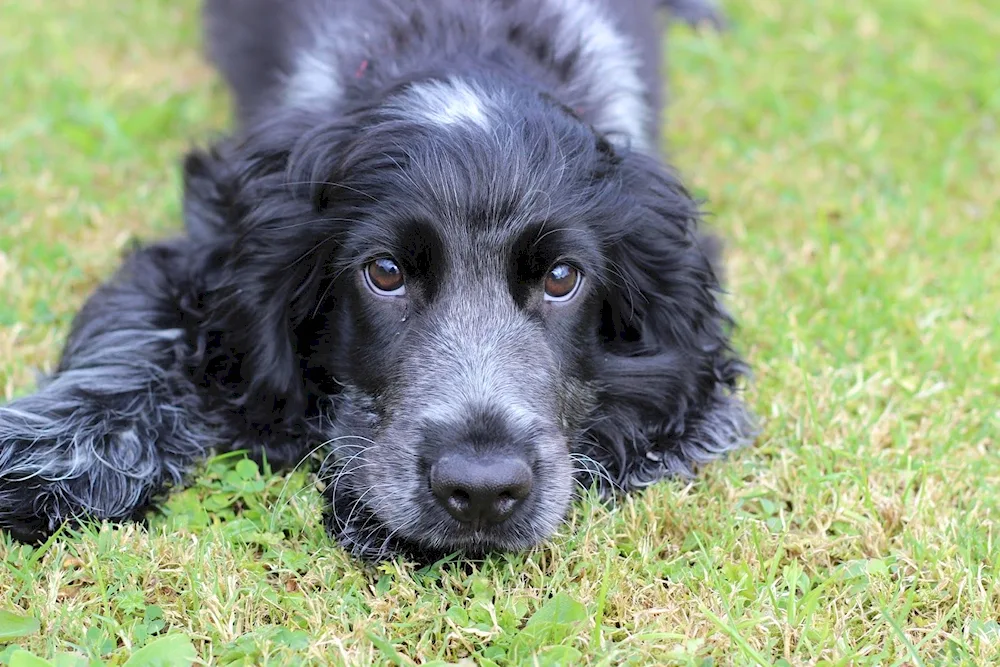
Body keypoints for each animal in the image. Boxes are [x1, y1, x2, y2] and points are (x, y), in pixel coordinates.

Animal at [0, 0, 752, 564]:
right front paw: (40, 466)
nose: (482, 491)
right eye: (384, 273)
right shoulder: (208, 241)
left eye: (563, 277)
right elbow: (133, 342)